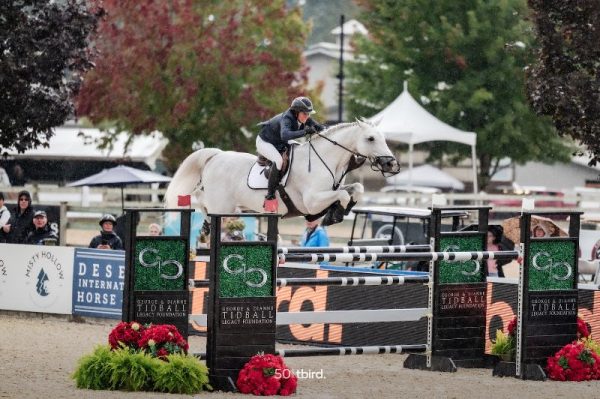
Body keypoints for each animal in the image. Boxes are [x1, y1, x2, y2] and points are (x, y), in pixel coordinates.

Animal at [164, 119, 398, 222]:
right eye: (370, 138)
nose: (391, 164)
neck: (326, 160)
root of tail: (216, 156)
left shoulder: (331, 191)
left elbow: (356, 188)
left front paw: (340, 211)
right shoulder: (312, 202)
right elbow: (342, 195)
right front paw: (336, 214)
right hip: (222, 207)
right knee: (205, 206)